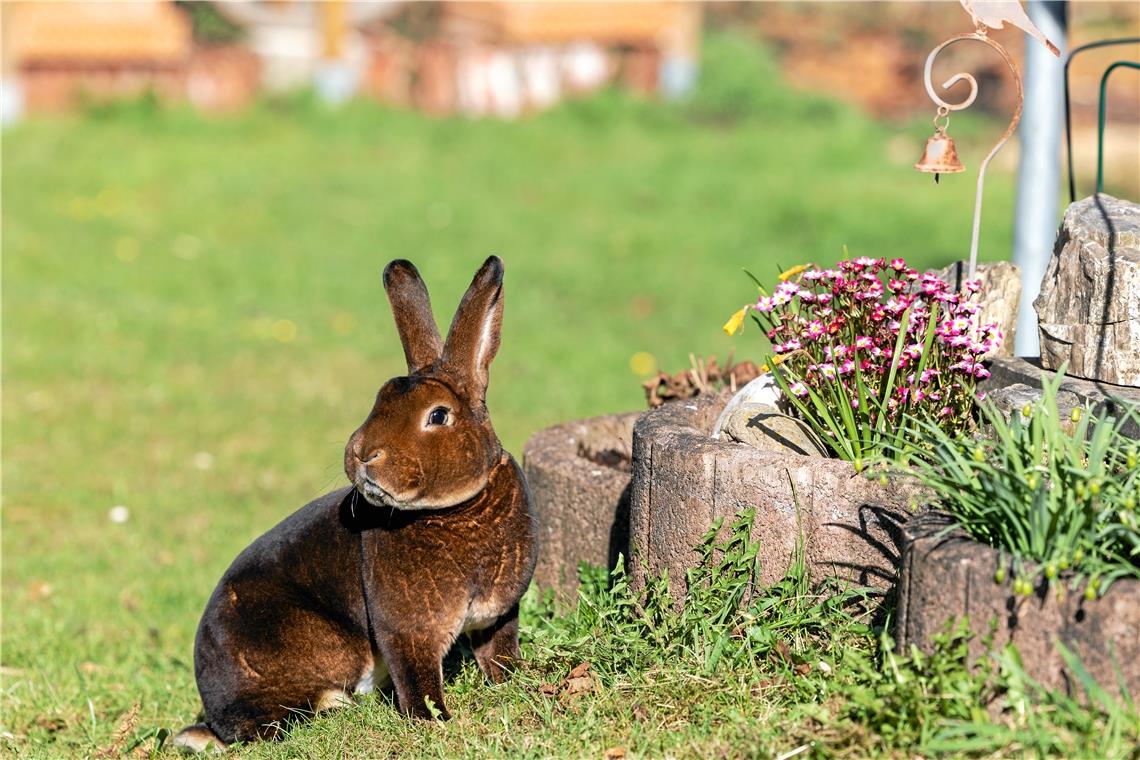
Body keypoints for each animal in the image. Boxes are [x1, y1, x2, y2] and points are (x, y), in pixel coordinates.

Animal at [174, 258, 538, 752]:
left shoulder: (497, 615)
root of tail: (212, 714)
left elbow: (498, 653)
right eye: (379, 398)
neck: (457, 508)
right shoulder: (407, 630)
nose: (363, 453)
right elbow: (418, 677)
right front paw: (436, 721)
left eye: (438, 415)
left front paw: (515, 683)